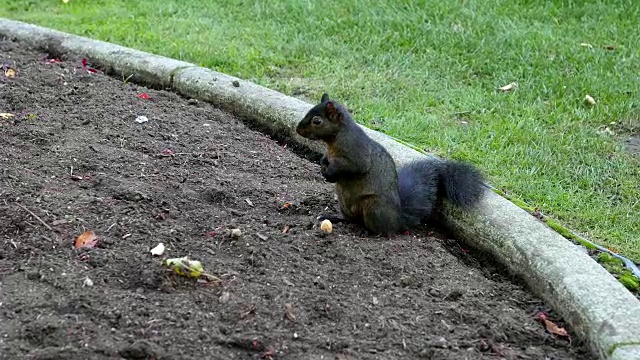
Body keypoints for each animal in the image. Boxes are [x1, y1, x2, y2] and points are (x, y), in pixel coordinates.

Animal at [296, 91, 484, 235]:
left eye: (317, 121)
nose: (298, 130)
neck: (335, 140)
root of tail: (398, 220)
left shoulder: (357, 154)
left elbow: (352, 167)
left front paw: (329, 173)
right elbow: (325, 160)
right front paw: (323, 167)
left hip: (373, 207)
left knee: (382, 230)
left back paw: (369, 232)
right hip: (344, 203)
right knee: (352, 220)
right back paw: (334, 218)